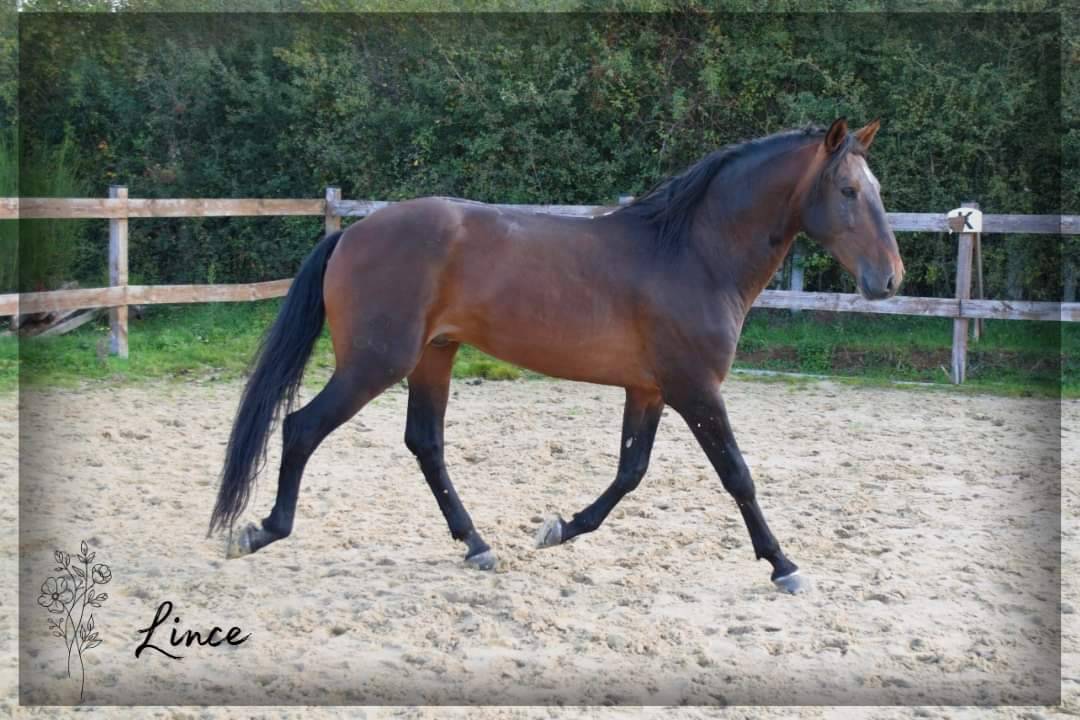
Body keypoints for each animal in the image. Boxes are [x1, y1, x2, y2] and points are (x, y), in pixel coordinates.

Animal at [209, 118, 902, 593]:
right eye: (847, 190)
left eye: (874, 187)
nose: (890, 279)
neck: (691, 253)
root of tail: (352, 233)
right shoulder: (696, 389)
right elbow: (738, 476)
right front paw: (783, 565)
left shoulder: (650, 390)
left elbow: (630, 473)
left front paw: (559, 528)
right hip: (375, 363)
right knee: (302, 427)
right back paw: (261, 530)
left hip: (433, 357)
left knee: (424, 443)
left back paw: (477, 544)